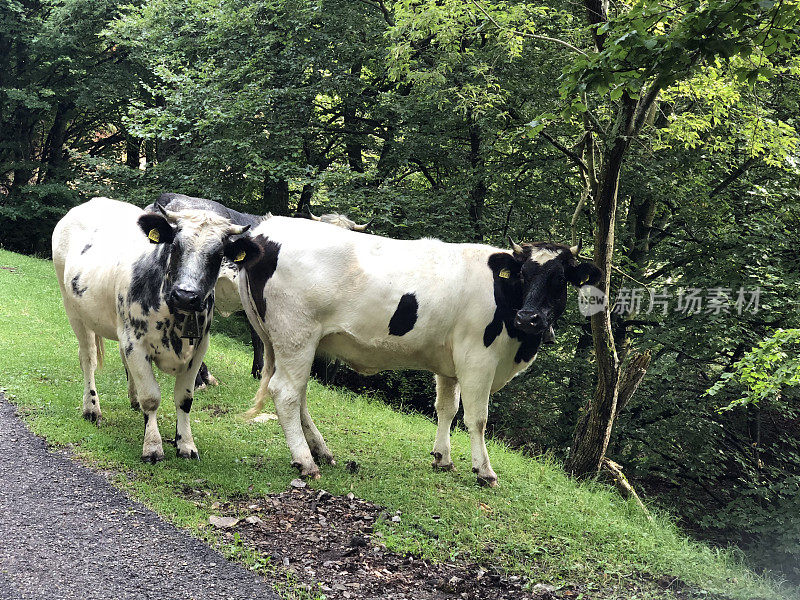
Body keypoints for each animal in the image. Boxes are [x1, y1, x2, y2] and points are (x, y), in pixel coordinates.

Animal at [52, 199, 248, 462]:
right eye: (175, 246)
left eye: (218, 255)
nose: (186, 295)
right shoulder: (136, 343)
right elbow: (151, 397)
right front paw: (153, 446)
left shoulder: (198, 349)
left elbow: (184, 399)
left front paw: (186, 444)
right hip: (73, 309)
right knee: (88, 358)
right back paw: (92, 409)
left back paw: (132, 399)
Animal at [225, 219, 600, 488]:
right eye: (522, 274)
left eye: (560, 279)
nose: (529, 318)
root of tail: (265, 231)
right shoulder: (477, 359)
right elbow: (477, 418)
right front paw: (484, 471)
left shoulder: (449, 364)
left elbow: (447, 409)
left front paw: (442, 458)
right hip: (296, 334)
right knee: (286, 392)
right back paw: (306, 462)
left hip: (289, 341)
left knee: (297, 393)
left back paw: (322, 451)